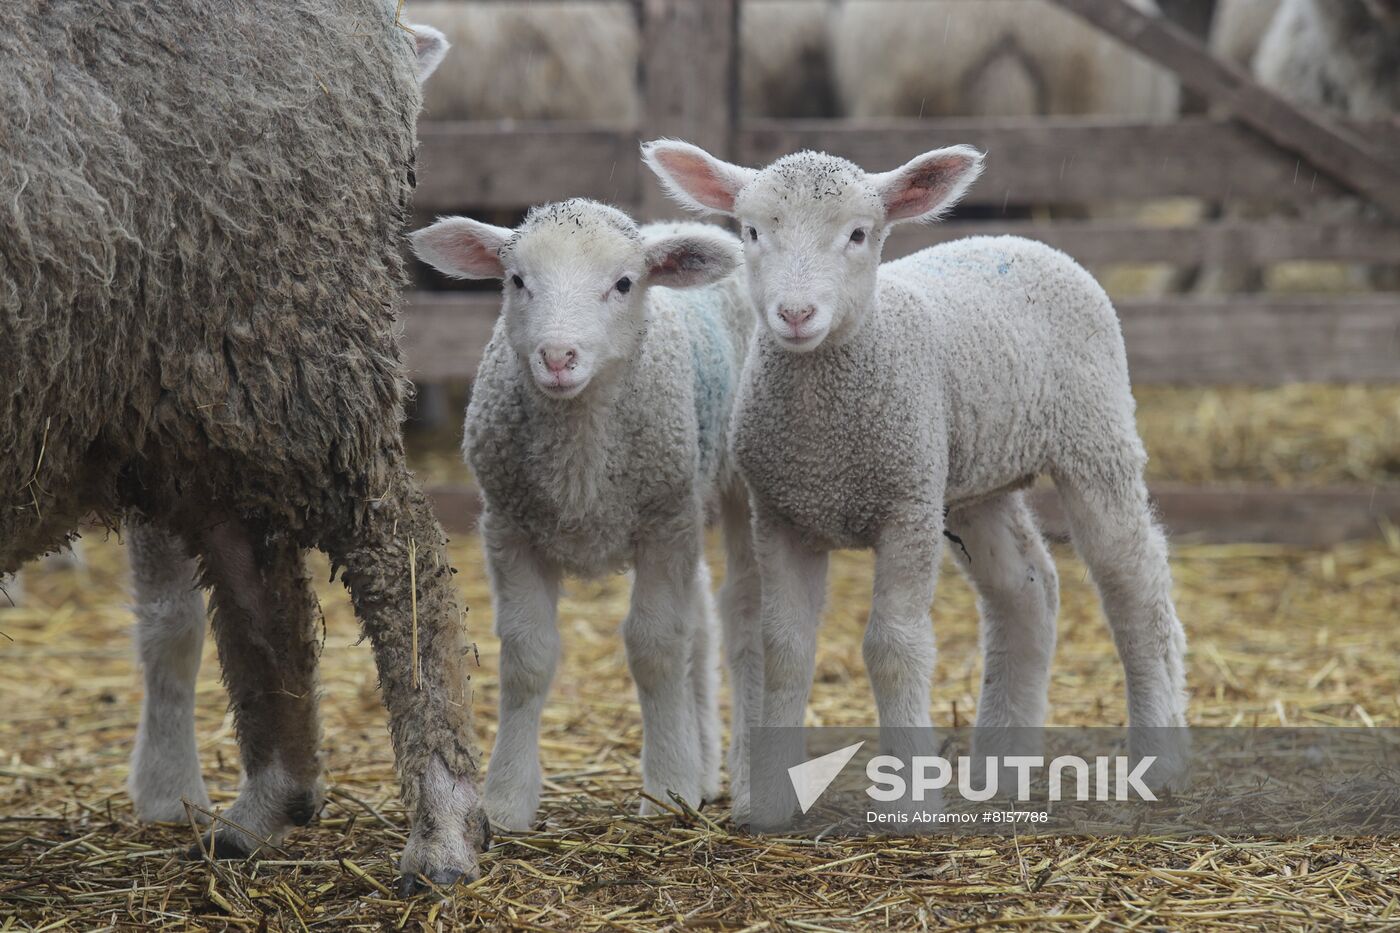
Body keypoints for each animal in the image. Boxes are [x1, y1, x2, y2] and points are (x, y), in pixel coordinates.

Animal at [0, 0, 490, 885]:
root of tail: (382, 23)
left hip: (293, 341)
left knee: (402, 556)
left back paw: (441, 825)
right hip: (198, 389)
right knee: (258, 578)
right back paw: (268, 803)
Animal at [411, 200, 767, 823]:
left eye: (624, 284)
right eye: (517, 280)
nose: (557, 356)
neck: (579, 461)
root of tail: (683, 226)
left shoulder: (661, 525)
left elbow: (654, 648)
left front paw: (666, 786)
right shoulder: (509, 527)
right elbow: (527, 657)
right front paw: (506, 801)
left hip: (728, 485)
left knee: (739, 616)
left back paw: (742, 776)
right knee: (699, 622)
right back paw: (703, 767)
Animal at [644, 137, 1192, 823]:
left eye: (859, 233)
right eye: (751, 232)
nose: (795, 313)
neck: (824, 436)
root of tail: (1023, 240)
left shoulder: (906, 507)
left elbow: (893, 648)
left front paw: (908, 795)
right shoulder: (782, 513)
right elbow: (784, 650)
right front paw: (770, 802)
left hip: (1095, 438)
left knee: (1135, 585)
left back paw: (1159, 758)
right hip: (970, 480)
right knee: (1026, 590)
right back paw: (1000, 769)